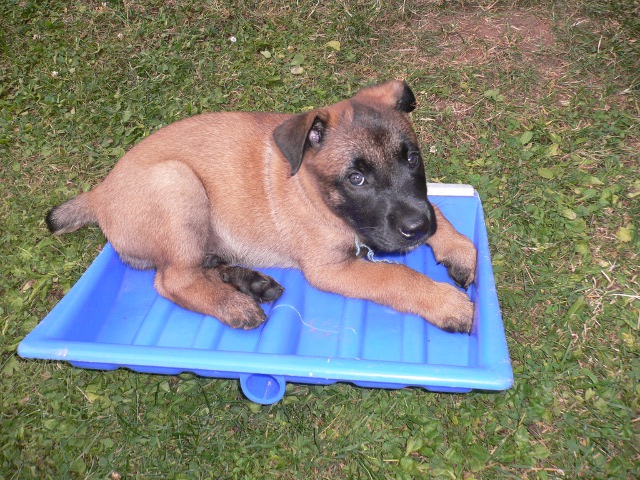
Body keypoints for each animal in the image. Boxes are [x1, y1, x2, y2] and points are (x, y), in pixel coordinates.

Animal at [46, 80, 477, 333]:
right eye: (356, 178)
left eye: (412, 159)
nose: (416, 228)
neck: (316, 194)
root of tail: (100, 192)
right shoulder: (330, 269)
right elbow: (397, 276)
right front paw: (445, 302)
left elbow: (438, 209)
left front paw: (457, 247)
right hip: (177, 183)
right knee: (172, 280)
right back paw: (234, 305)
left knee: (196, 267)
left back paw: (249, 282)